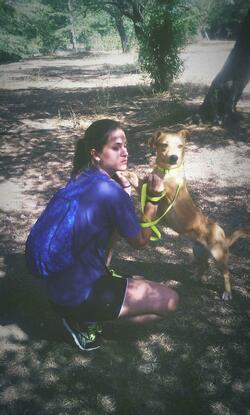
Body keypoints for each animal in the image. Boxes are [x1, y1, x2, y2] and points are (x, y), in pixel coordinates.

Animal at [129, 128, 248, 300]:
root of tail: (223, 235)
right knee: (205, 265)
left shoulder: (168, 190)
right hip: (198, 252)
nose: (174, 158)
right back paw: (196, 277)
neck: (166, 170)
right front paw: (127, 174)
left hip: (219, 255)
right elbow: (139, 181)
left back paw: (227, 292)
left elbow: (157, 182)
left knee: (226, 273)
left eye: (180, 146)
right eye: (164, 144)